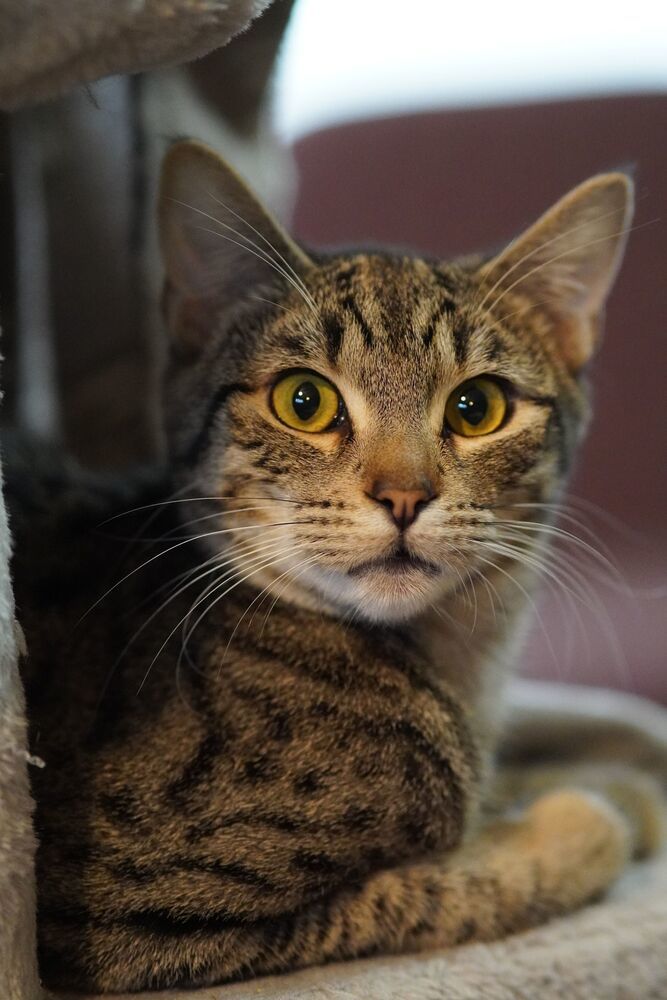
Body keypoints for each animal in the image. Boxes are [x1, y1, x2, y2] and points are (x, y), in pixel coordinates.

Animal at [7, 143, 660, 992]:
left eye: (476, 408)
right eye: (304, 400)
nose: (403, 495)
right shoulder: (124, 915)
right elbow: (432, 887)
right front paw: (584, 811)